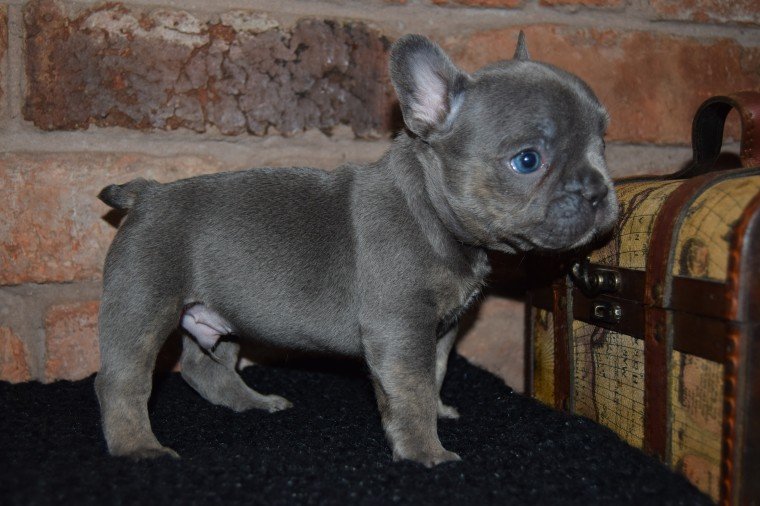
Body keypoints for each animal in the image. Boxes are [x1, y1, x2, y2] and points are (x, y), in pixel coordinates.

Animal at [95, 31, 616, 466]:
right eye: (528, 160)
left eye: (602, 145)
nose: (598, 191)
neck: (429, 210)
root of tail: (145, 194)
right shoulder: (402, 328)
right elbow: (411, 390)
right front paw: (426, 453)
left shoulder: (441, 330)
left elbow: (437, 372)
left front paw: (439, 410)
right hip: (143, 302)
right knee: (123, 381)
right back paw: (138, 447)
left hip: (219, 314)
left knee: (205, 368)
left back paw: (255, 403)